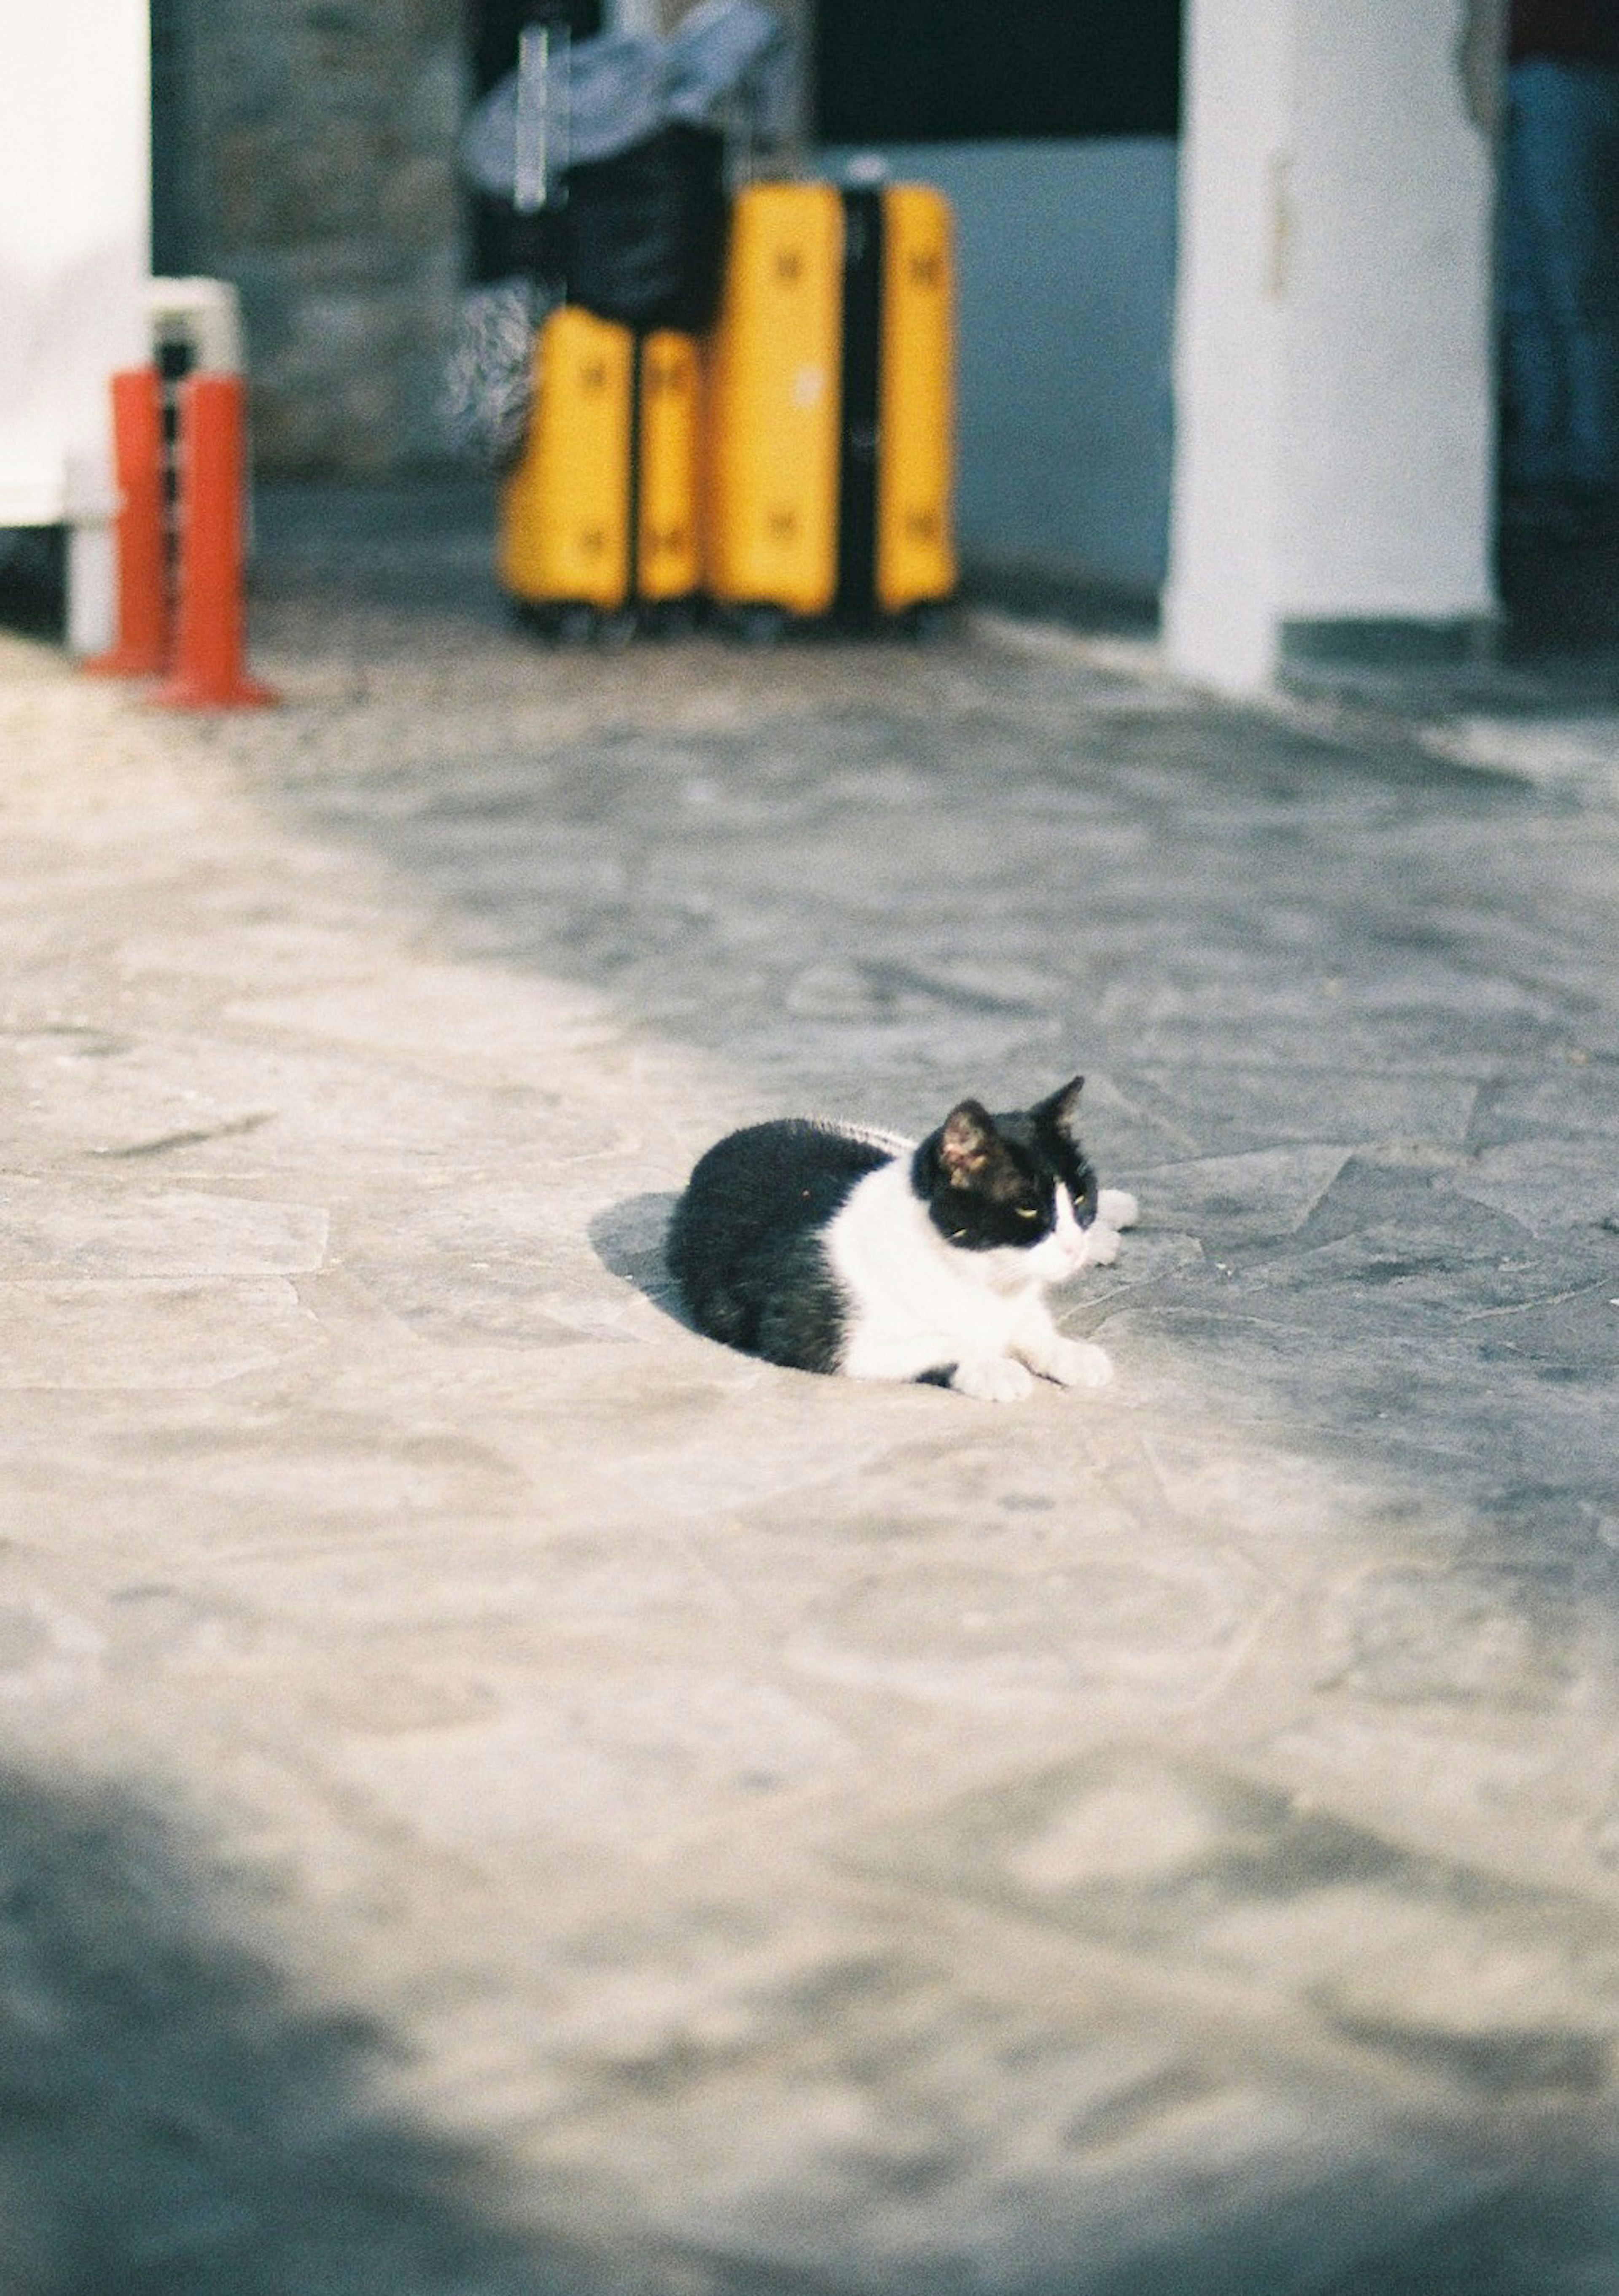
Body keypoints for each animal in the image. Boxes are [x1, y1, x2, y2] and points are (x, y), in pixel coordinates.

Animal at [661, 1074, 1130, 1396]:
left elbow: (1031, 1327)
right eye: (1029, 1207)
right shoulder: (825, 1340)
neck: (980, 1277)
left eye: (1080, 1196)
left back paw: (1114, 1218)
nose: (1074, 1245)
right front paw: (989, 1366)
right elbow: (943, 1341)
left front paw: (1067, 1351)